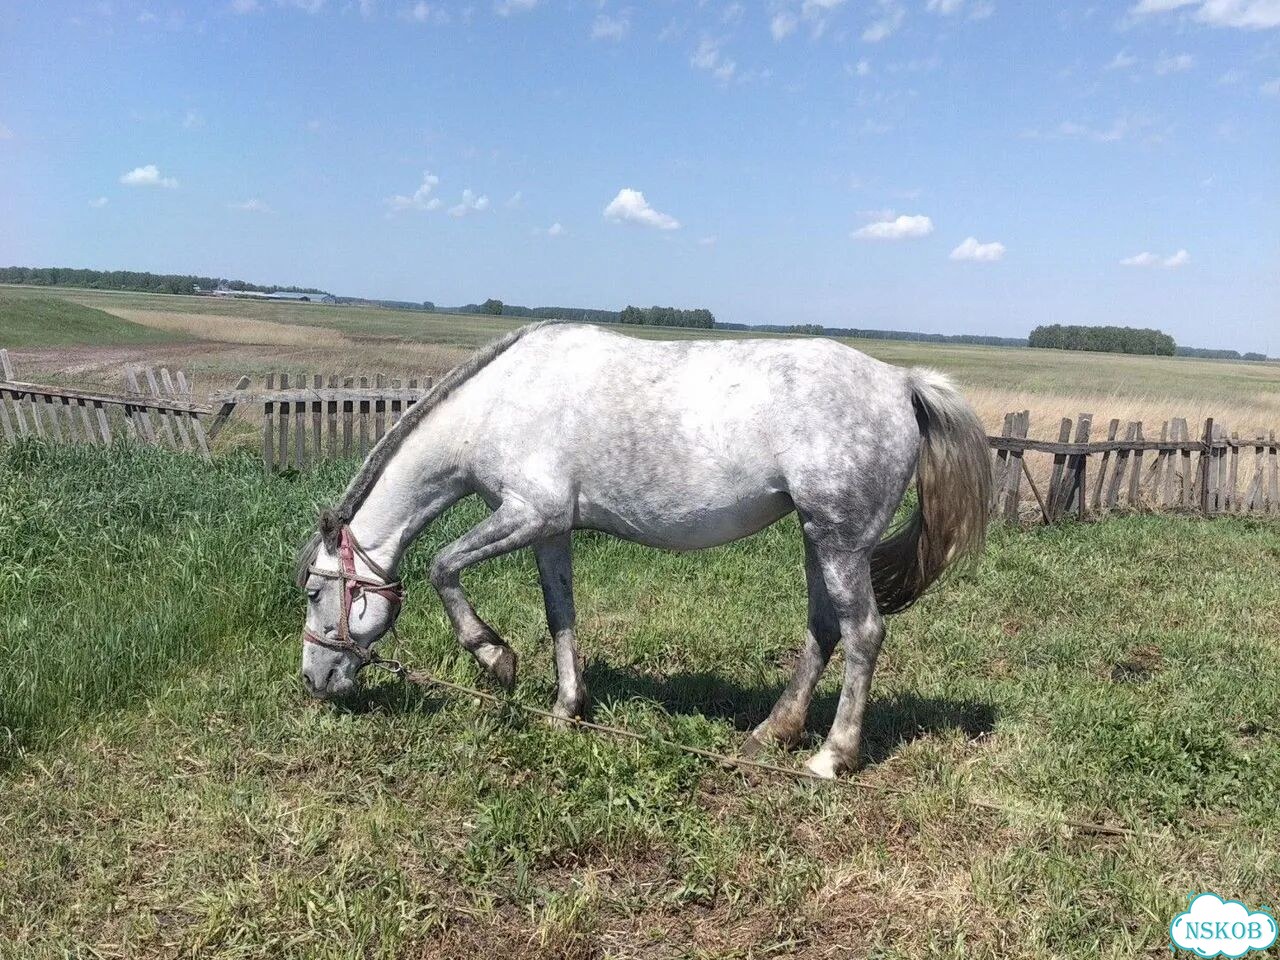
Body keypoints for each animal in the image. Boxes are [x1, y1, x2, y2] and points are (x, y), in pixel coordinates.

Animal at [295, 321, 991, 778]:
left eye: (315, 591)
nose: (315, 681)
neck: (497, 405)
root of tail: (902, 382)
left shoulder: (530, 513)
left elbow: (443, 566)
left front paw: (496, 659)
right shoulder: (551, 529)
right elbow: (561, 615)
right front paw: (565, 710)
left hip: (839, 539)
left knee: (863, 632)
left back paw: (830, 756)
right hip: (816, 537)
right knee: (823, 630)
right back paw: (770, 735)